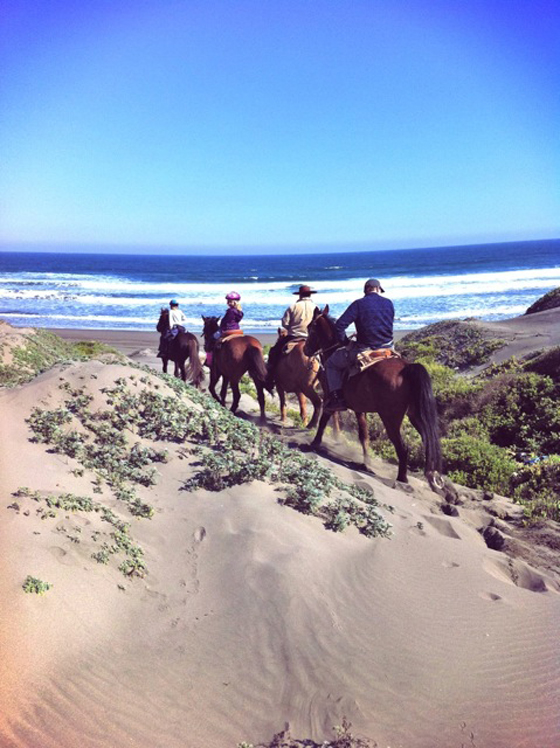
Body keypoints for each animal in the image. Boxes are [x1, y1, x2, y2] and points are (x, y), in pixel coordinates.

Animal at [304, 306, 444, 490]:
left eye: (310, 328)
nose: (305, 350)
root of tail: (406, 369)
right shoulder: (359, 409)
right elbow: (364, 436)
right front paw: (366, 462)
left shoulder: (329, 399)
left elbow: (323, 421)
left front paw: (314, 442)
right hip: (415, 415)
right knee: (427, 441)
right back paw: (431, 477)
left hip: (390, 418)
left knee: (403, 448)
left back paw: (402, 479)